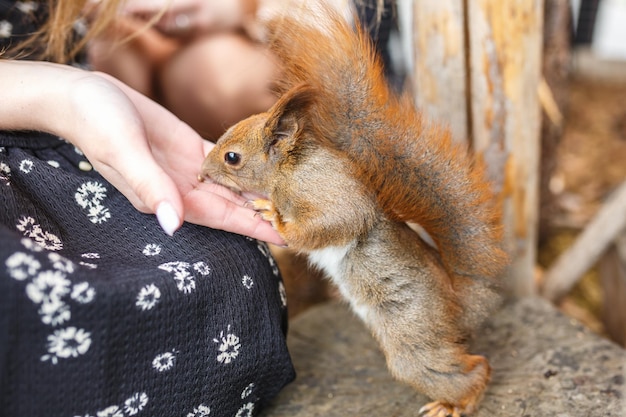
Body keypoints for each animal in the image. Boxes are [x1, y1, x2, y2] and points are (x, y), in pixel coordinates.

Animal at [200, 4, 508, 416]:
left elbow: (340, 220)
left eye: (232, 157)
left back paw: (457, 402)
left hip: (413, 335)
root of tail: (458, 306)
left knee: (472, 367)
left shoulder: (325, 189)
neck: (287, 169)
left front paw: (274, 216)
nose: (202, 172)